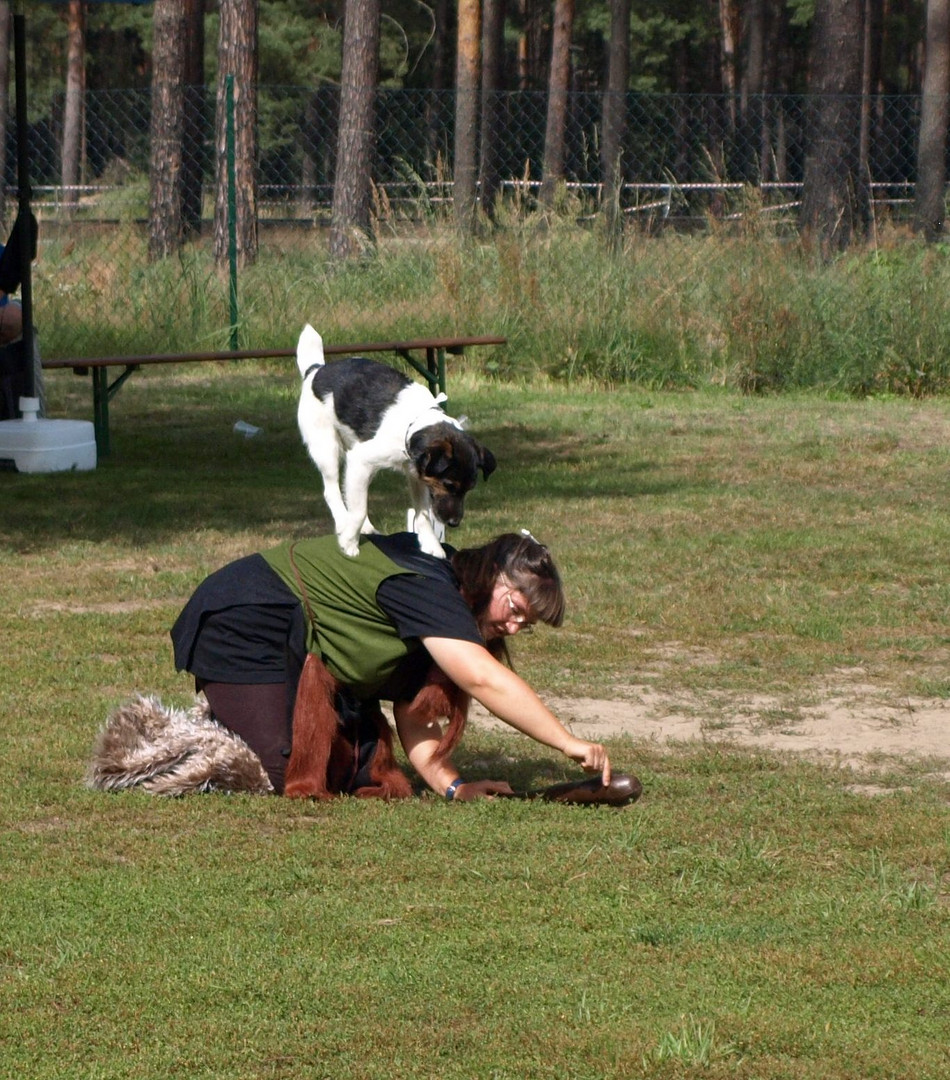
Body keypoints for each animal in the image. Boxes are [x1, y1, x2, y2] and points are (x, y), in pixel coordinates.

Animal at [297, 321, 496, 557]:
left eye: (470, 488)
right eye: (449, 484)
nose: (454, 523)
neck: (413, 424)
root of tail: (315, 369)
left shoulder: (418, 477)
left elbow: (422, 514)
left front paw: (431, 545)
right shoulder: (361, 460)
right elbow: (360, 509)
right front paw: (349, 542)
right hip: (327, 448)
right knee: (332, 491)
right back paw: (344, 523)